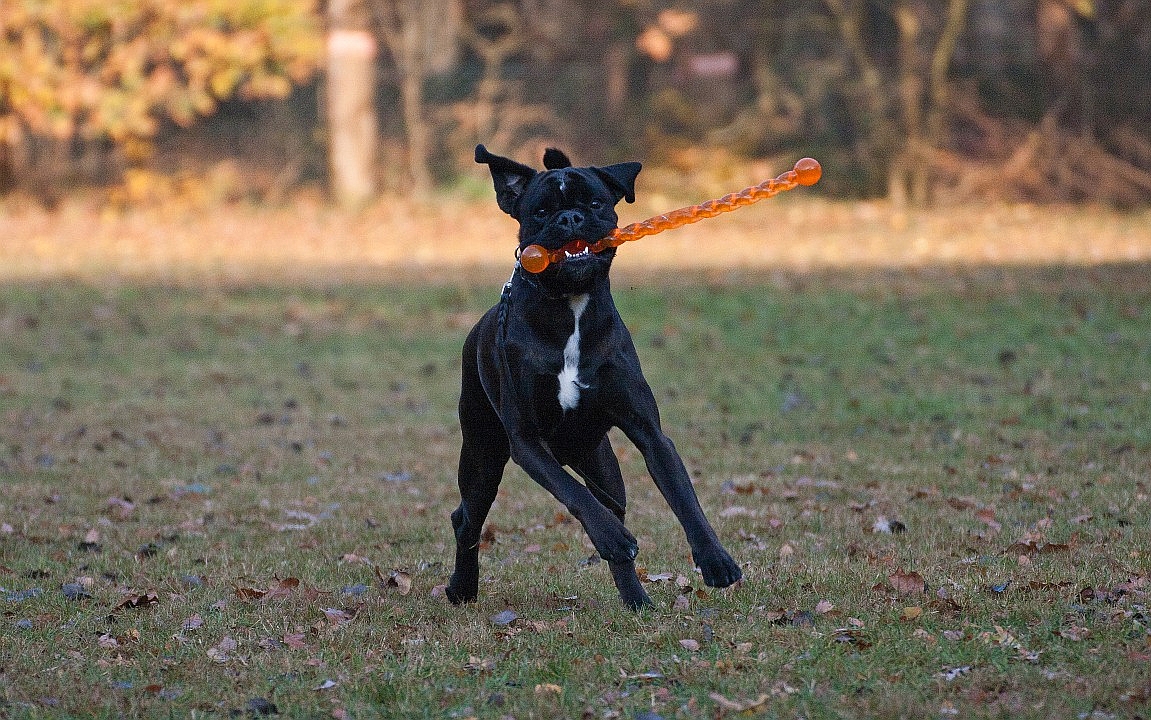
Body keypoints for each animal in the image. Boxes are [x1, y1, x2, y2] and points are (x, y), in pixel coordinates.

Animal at [444, 144, 741, 607]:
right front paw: (613, 538)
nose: (570, 218)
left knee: (611, 506)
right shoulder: (527, 444)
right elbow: (575, 495)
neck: (572, 305)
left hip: (603, 467)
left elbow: (684, 498)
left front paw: (715, 560)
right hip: (483, 457)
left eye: (596, 203)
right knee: (467, 518)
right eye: (542, 211)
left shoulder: (650, 435)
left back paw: (637, 602)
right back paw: (462, 586)